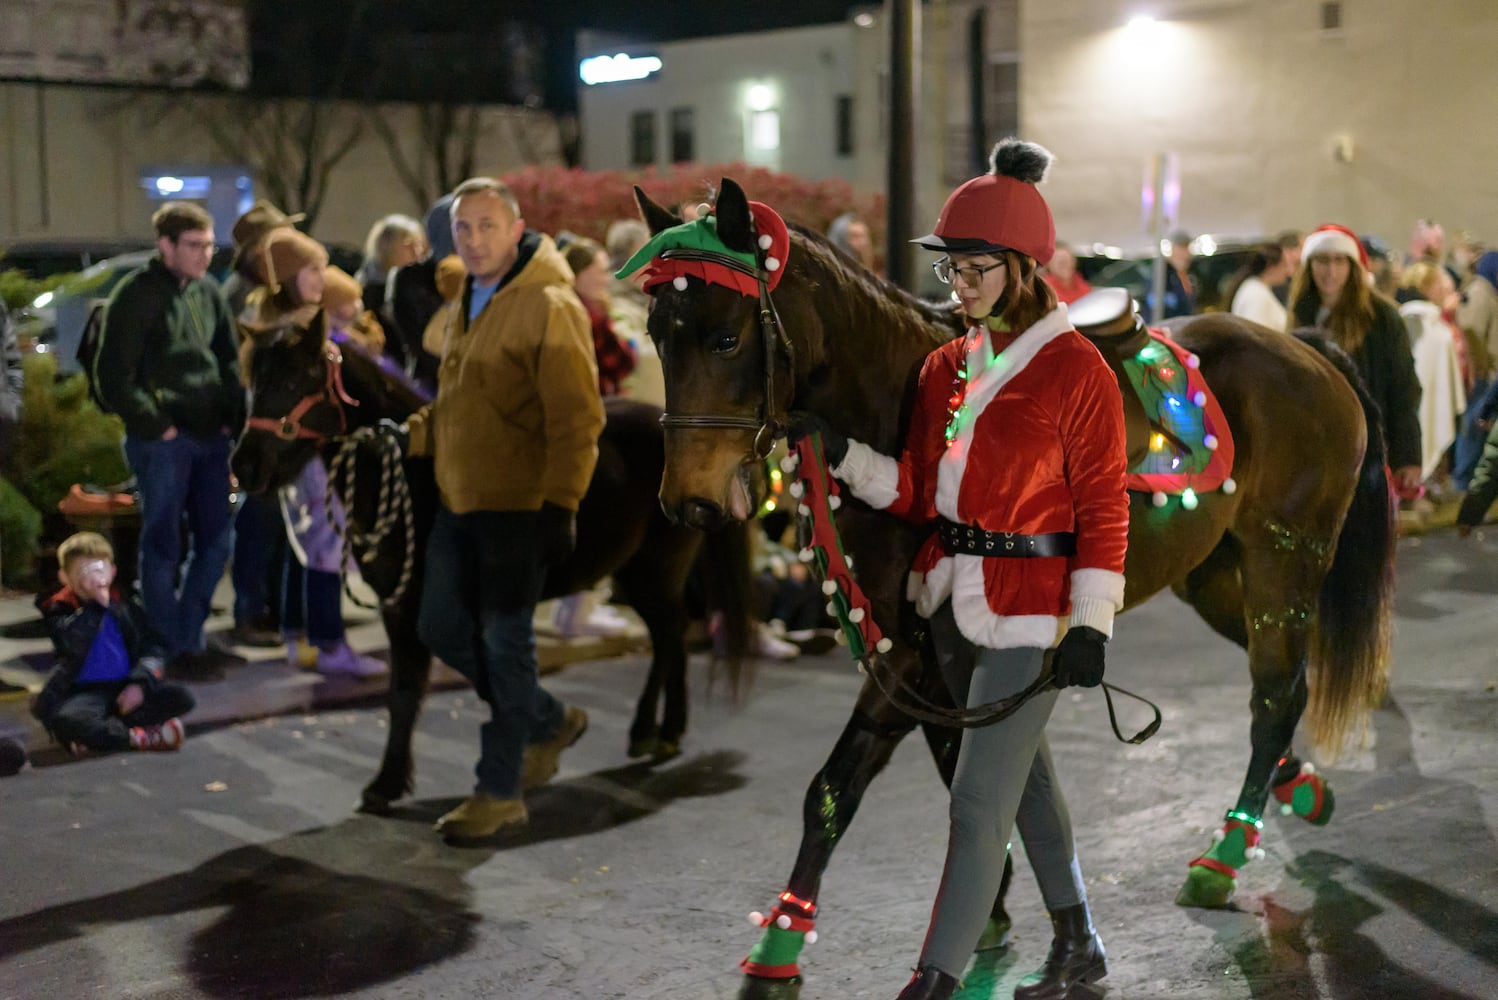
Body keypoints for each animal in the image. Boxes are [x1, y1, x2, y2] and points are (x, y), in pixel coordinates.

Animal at [233, 315, 760, 814]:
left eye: (296, 377)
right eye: (252, 381)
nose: (243, 466)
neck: (419, 478)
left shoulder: (429, 608)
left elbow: (456, 684)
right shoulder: (400, 608)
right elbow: (410, 691)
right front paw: (390, 783)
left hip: (653, 572)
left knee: (671, 635)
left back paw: (660, 731)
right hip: (636, 576)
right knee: (669, 636)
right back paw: (655, 731)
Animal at [629, 181, 1390, 999]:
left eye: (726, 340)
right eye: (656, 334)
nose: (689, 502)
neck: (897, 401)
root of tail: (1306, 349)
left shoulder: (909, 658)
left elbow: (840, 786)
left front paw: (779, 952)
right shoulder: (930, 658)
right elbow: (948, 770)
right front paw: (988, 906)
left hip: (1284, 561)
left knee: (1275, 694)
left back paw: (1223, 855)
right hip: (1217, 579)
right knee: (1279, 686)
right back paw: (1293, 786)